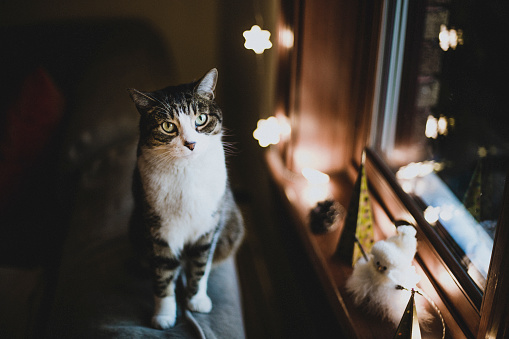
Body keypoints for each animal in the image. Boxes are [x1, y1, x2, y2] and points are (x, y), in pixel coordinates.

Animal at [129, 67, 244, 330]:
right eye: (167, 126)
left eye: (200, 119)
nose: (190, 144)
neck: (186, 172)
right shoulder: (157, 228)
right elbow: (162, 273)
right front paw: (163, 316)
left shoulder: (210, 223)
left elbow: (200, 265)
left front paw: (197, 301)